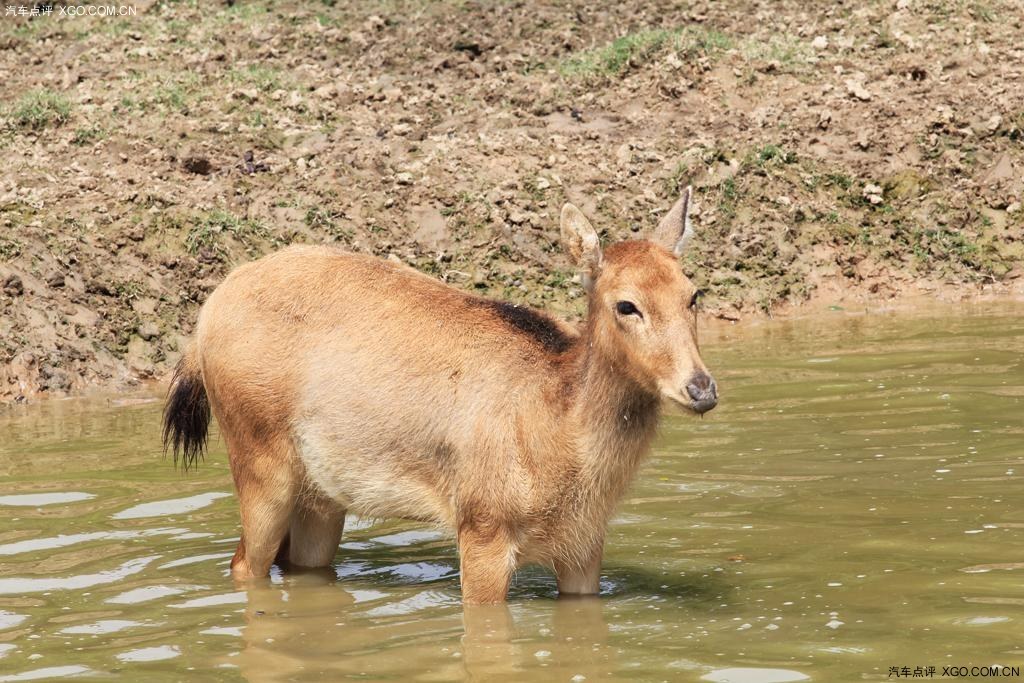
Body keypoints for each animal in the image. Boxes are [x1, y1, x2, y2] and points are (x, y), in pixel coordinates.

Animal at [163, 187, 716, 602]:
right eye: (627, 305)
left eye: (693, 293)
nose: (701, 387)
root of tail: (202, 323)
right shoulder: (481, 525)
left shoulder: (584, 545)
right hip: (258, 458)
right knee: (243, 564)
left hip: (320, 497)